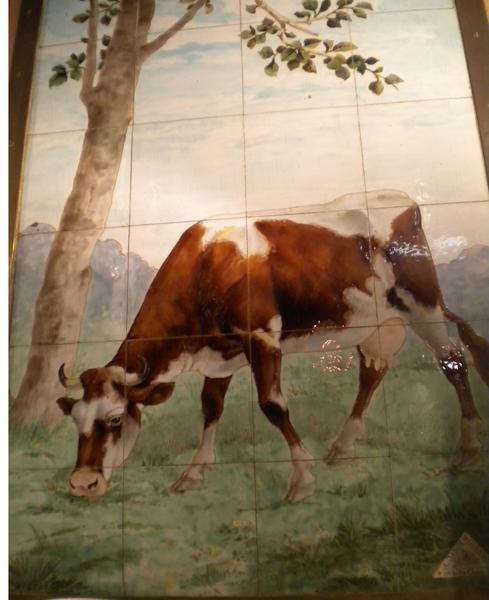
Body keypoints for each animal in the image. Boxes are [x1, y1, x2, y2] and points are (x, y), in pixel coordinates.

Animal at [57, 190, 489, 502]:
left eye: (115, 419)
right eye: (75, 420)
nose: (81, 484)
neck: (206, 264)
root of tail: (404, 201)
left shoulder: (262, 337)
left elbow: (273, 406)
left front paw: (302, 478)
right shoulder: (220, 356)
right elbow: (210, 409)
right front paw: (194, 473)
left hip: (422, 303)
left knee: (452, 361)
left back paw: (467, 449)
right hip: (376, 324)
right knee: (372, 373)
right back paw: (343, 446)